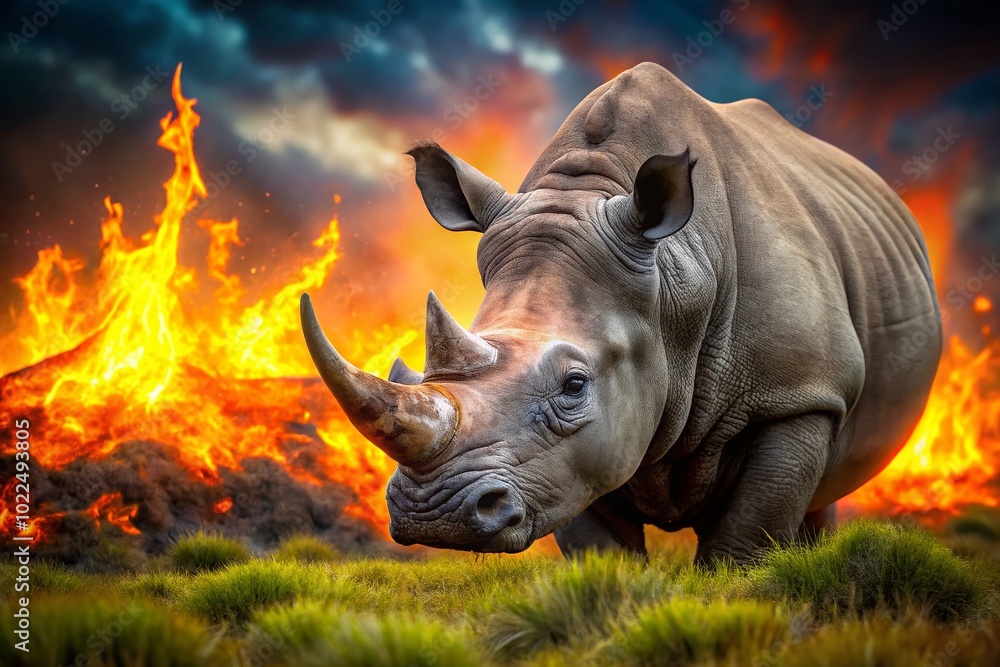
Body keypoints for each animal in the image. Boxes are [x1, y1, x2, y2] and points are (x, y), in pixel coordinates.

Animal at [300, 62, 941, 564]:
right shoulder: (575, 458)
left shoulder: (799, 393)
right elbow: (600, 548)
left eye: (574, 385)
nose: (434, 512)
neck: (675, 282)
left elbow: (742, 543)